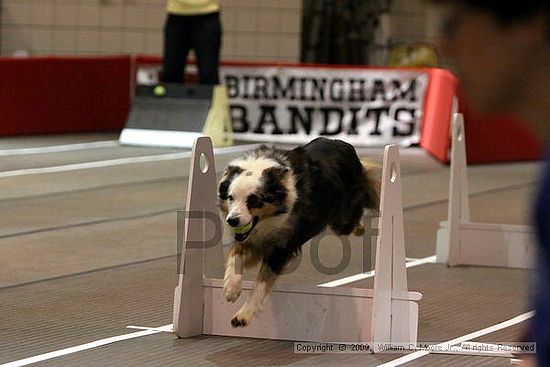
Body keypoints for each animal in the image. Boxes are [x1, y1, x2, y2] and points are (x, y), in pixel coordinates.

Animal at [219, 138, 380, 328]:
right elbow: (234, 255)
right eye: (231, 197)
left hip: (342, 218)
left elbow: (261, 283)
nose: (232, 220)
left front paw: (244, 314)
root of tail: (344, 144)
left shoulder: (282, 246)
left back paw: (360, 226)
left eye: (254, 200)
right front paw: (231, 288)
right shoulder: (251, 239)